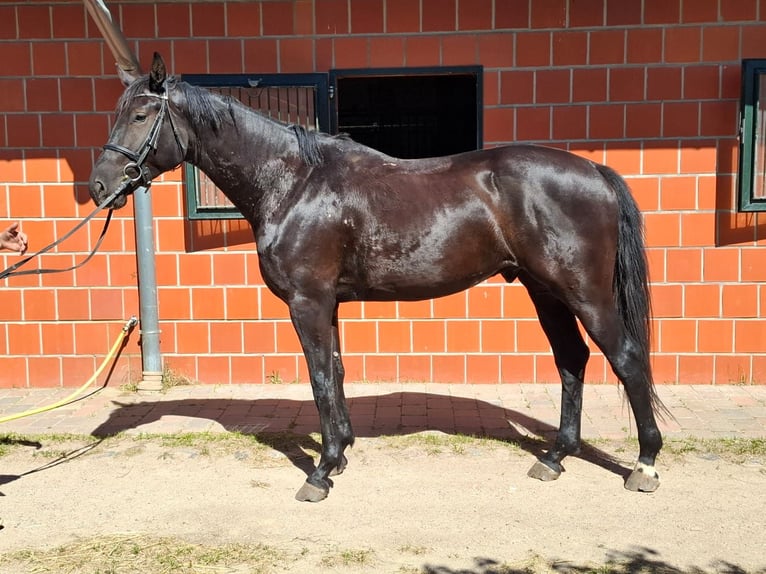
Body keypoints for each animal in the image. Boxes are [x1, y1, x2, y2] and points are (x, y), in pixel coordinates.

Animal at [89, 52, 666, 502]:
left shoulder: (308, 302)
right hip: (545, 291)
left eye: (140, 114)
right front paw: (340, 455)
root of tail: (595, 171)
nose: (99, 186)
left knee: (626, 359)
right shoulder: (327, 303)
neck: (294, 183)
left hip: (585, 293)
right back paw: (554, 458)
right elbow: (337, 373)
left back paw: (644, 465)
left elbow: (321, 378)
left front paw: (320, 473)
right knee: (572, 360)